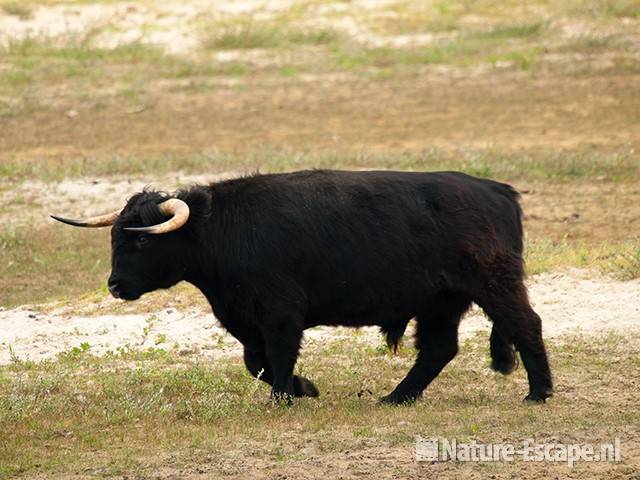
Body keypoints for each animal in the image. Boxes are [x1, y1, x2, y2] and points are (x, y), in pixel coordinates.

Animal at [56, 171, 556, 404]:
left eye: (141, 239)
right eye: (115, 238)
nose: (116, 286)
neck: (220, 231)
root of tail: (497, 190)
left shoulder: (280, 313)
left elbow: (276, 357)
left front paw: (284, 396)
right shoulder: (246, 319)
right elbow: (255, 362)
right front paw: (304, 388)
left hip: (496, 285)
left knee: (526, 325)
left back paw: (539, 392)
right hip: (440, 302)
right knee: (438, 349)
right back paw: (396, 397)